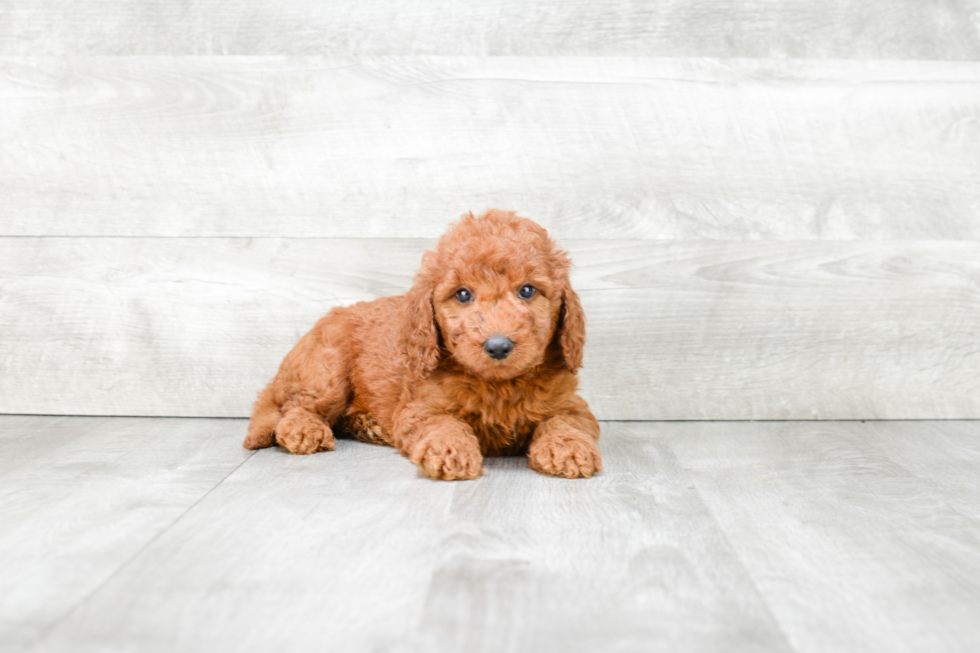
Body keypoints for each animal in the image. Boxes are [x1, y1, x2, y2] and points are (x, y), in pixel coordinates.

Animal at [241, 209, 600, 478]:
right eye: (463, 295)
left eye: (527, 291)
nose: (498, 346)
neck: (499, 386)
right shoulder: (420, 407)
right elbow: (443, 422)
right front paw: (450, 449)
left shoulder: (572, 404)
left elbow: (566, 421)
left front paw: (569, 447)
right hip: (326, 370)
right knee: (295, 406)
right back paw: (304, 430)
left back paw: (368, 426)